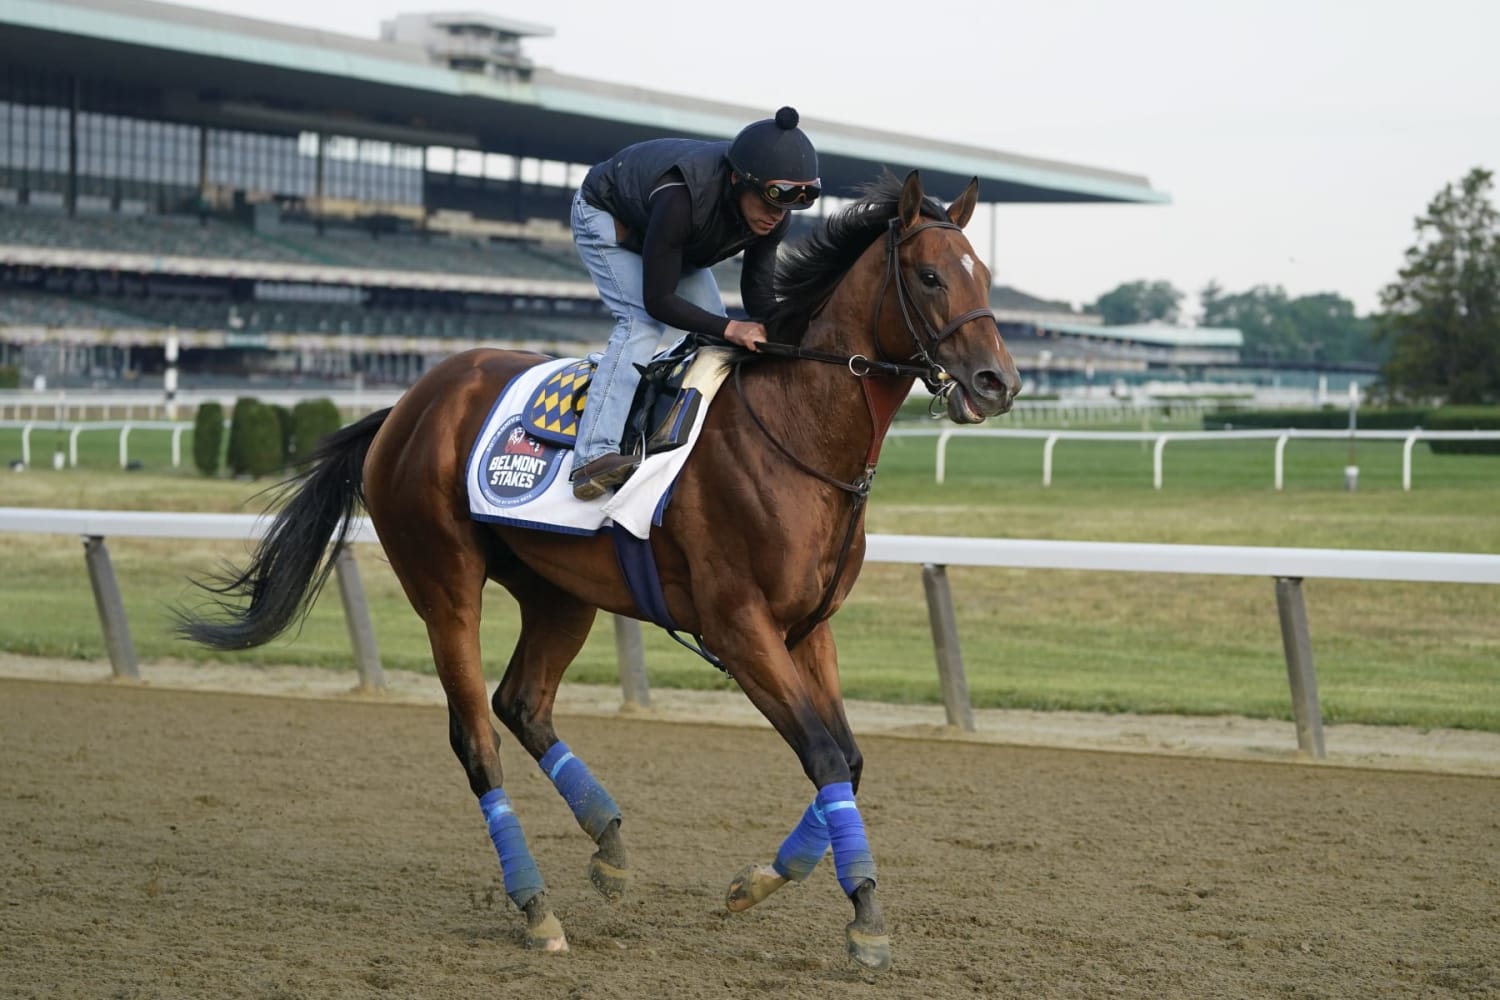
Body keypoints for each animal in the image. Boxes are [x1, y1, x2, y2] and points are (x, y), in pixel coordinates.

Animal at [175, 170, 1020, 971]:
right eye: (931, 277)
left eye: (984, 275)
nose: (998, 383)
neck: (795, 433)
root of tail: (407, 405)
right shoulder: (739, 626)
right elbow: (820, 752)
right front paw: (858, 918)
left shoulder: (807, 627)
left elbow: (846, 757)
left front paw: (770, 884)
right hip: (444, 584)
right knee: (476, 736)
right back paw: (535, 908)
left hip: (558, 591)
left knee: (522, 703)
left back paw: (608, 843)